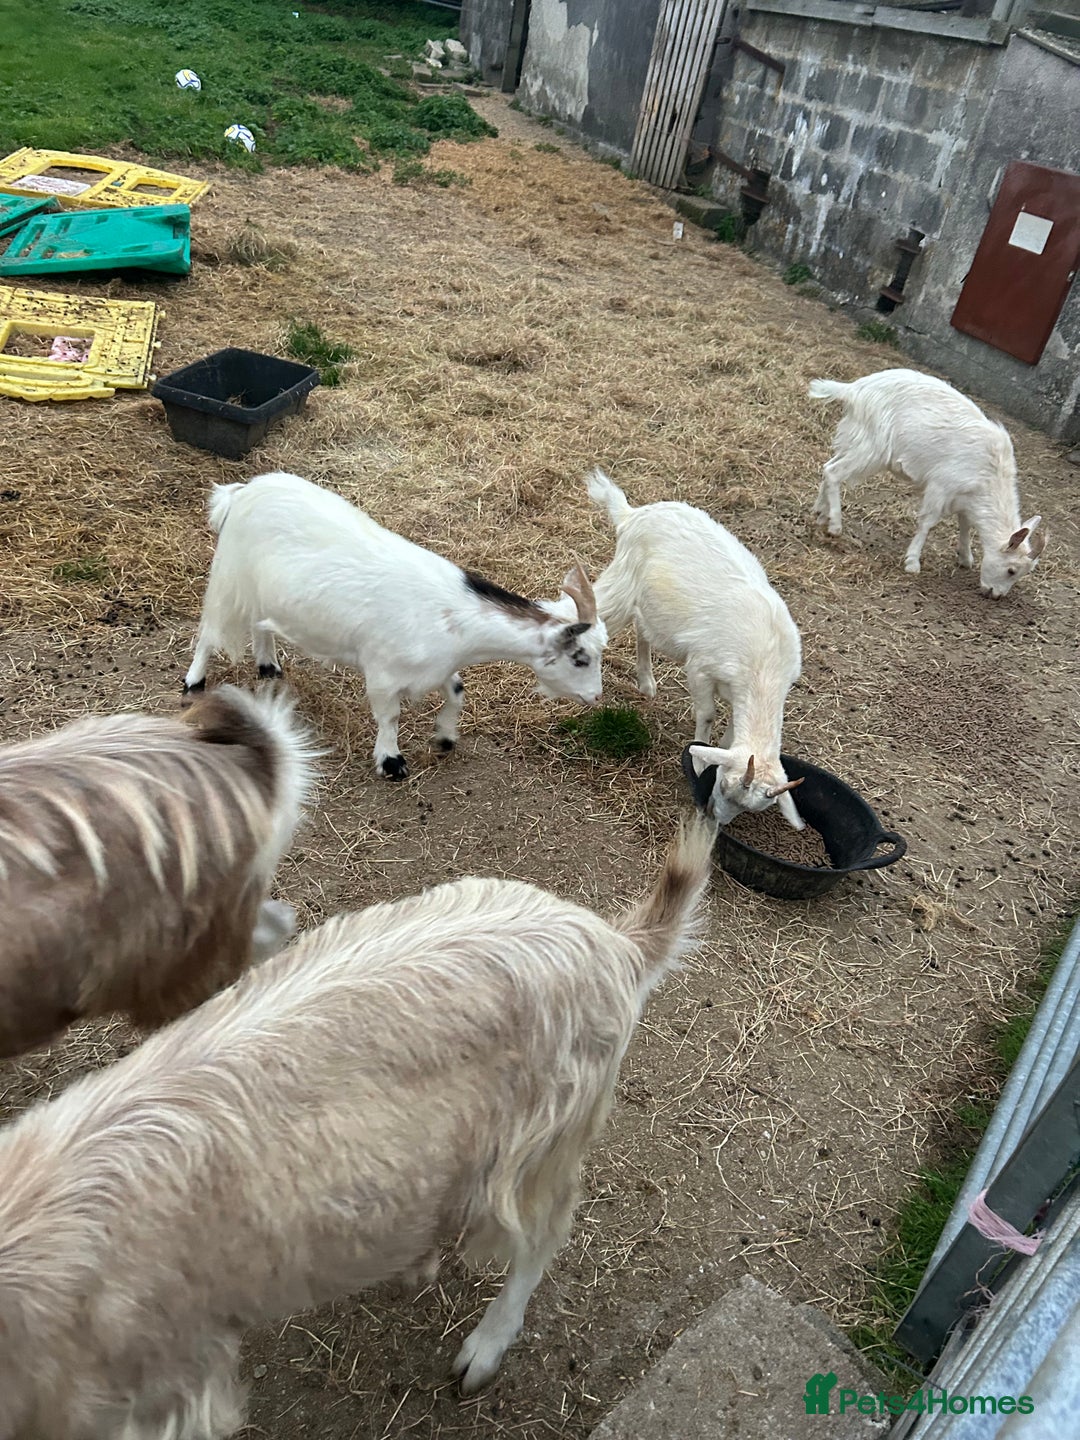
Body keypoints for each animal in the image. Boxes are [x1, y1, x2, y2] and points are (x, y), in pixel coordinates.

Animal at [183, 471, 607, 779]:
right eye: (580, 658)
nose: (596, 697)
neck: (456, 620)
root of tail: (243, 490)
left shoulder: (437, 668)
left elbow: (457, 691)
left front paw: (445, 737)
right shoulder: (383, 674)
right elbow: (390, 717)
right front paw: (391, 761)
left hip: (264, 591)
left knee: (260, 624)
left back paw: (268, 666)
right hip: (229, 575)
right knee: (209, 632)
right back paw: (193, 683)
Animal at [587, 468, 805, 830]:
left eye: (750, 808)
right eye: (726, 786)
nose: (716, 818)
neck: (765, 666)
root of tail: (632, 514)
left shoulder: (738, 692)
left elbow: (731, 732)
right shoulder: (701, 667)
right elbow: (707, 714)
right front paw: (700, 758)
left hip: (654, 607)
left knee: (642, 630)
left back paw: (646, 683)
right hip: (621, 584)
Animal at [809, 369, 1047, 598]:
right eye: (1011, 570)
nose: (995, 595)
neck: (990, 474)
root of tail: (854, 389)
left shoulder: (965, 497)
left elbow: (965, 525)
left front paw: (965, 558)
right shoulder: (941, 486)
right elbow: (928, 523)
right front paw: (912, 562)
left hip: (855, 441)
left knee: (828, 467)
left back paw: (819, 513)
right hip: (871, 449)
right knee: (834, 472)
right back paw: (835, 525)